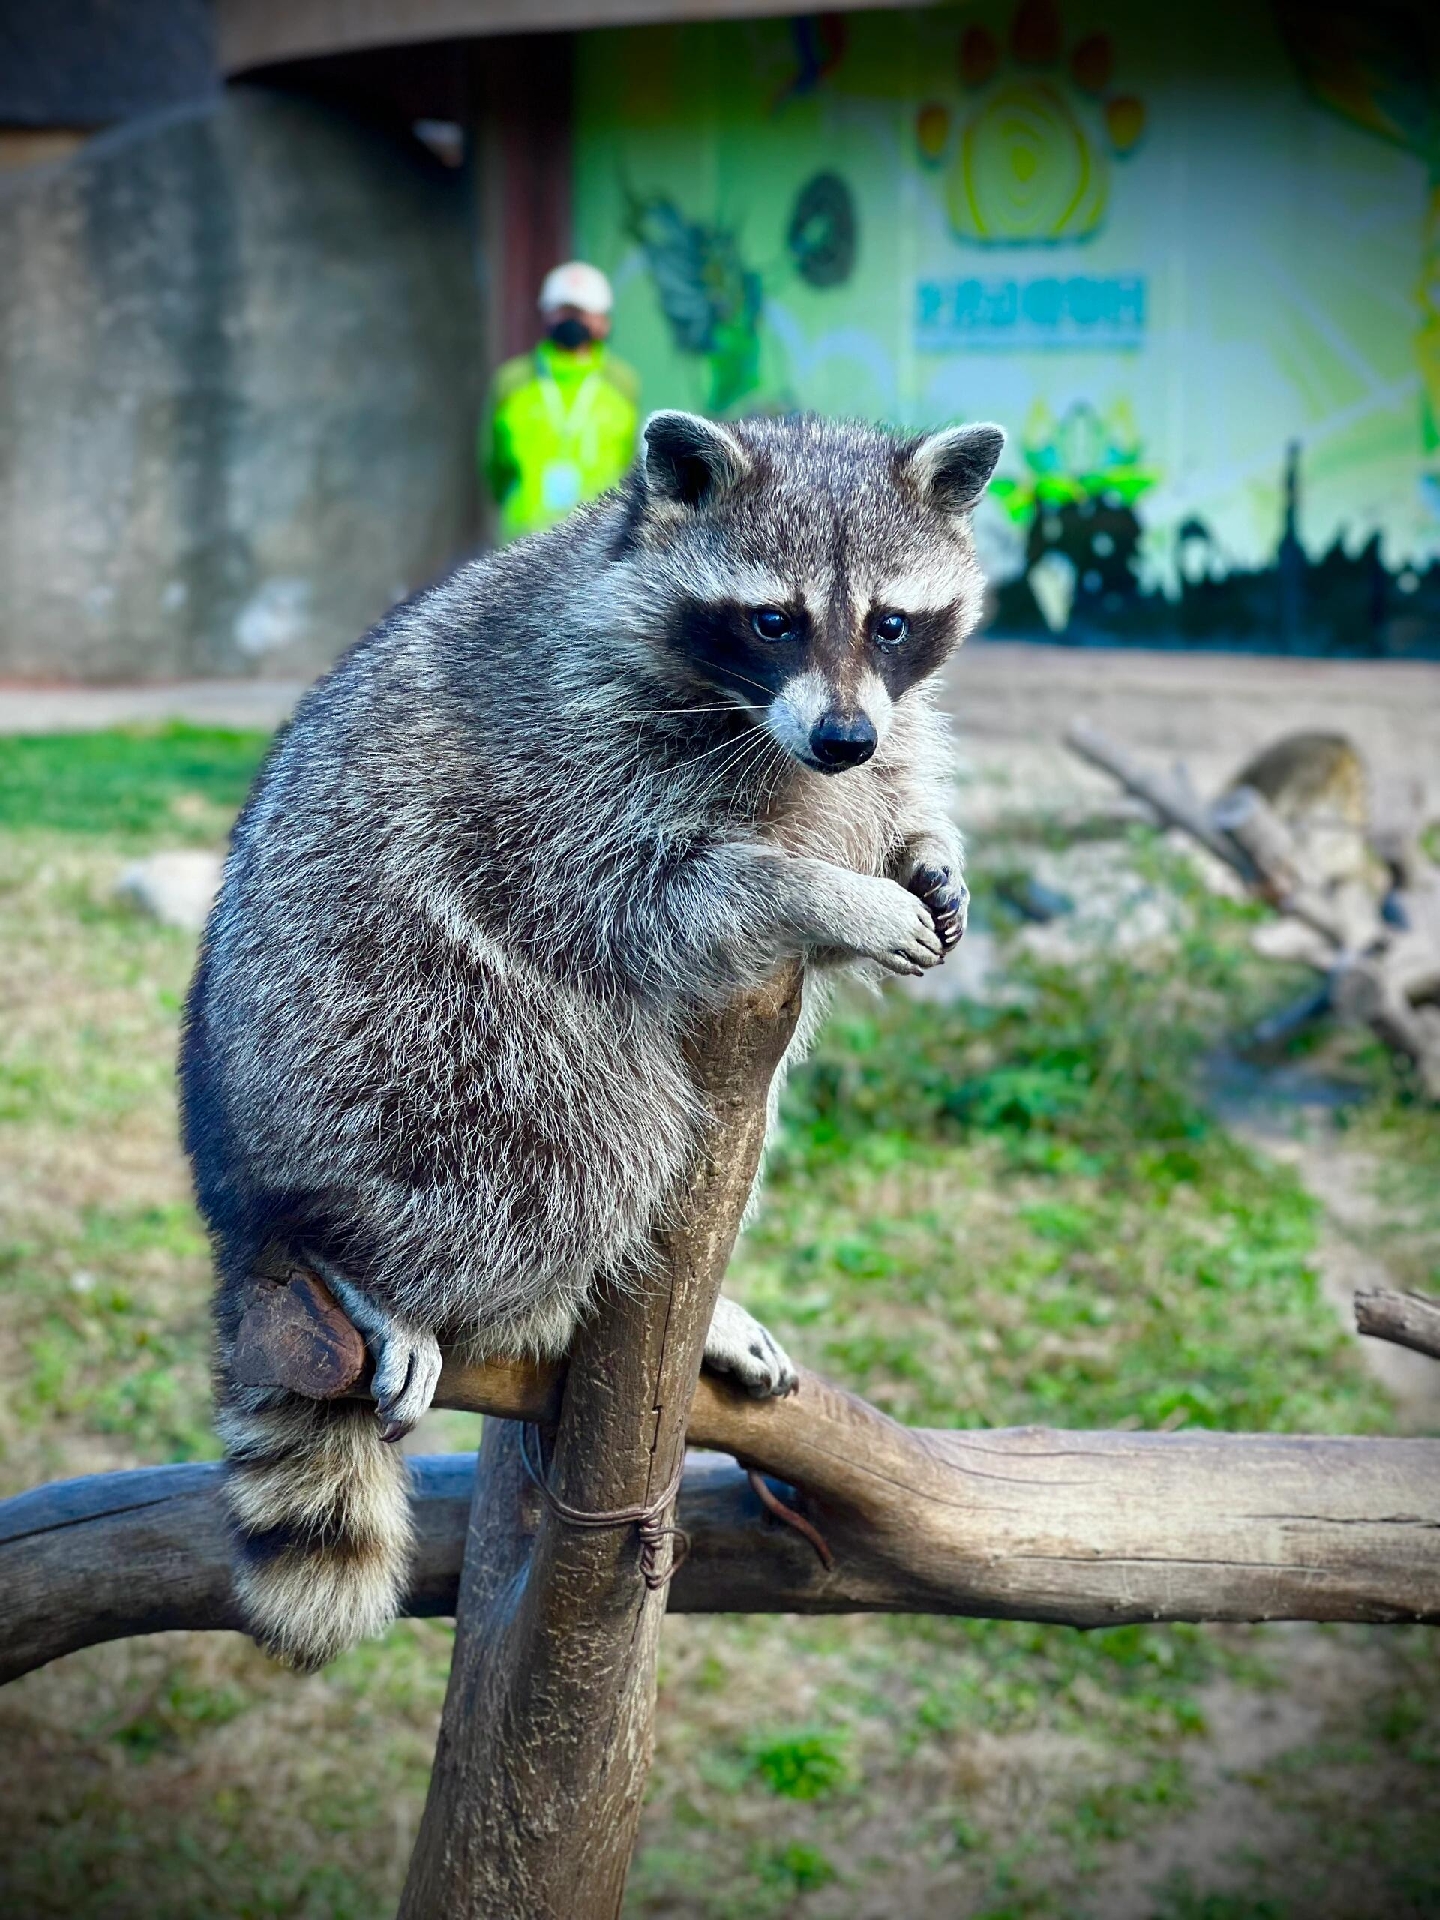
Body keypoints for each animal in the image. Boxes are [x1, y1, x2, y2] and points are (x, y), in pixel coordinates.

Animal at [183, 405, 1006, 1666]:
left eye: (892, 622)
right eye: (774, 620)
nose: (843, 737)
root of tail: (235, 1190)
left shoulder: (875, 730)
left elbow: (886, 797)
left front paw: (925, 854)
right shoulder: (565, 762)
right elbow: (657, 894)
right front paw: (830, 895)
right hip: (398, 1043)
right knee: (571, 1150)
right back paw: (378, 1270)